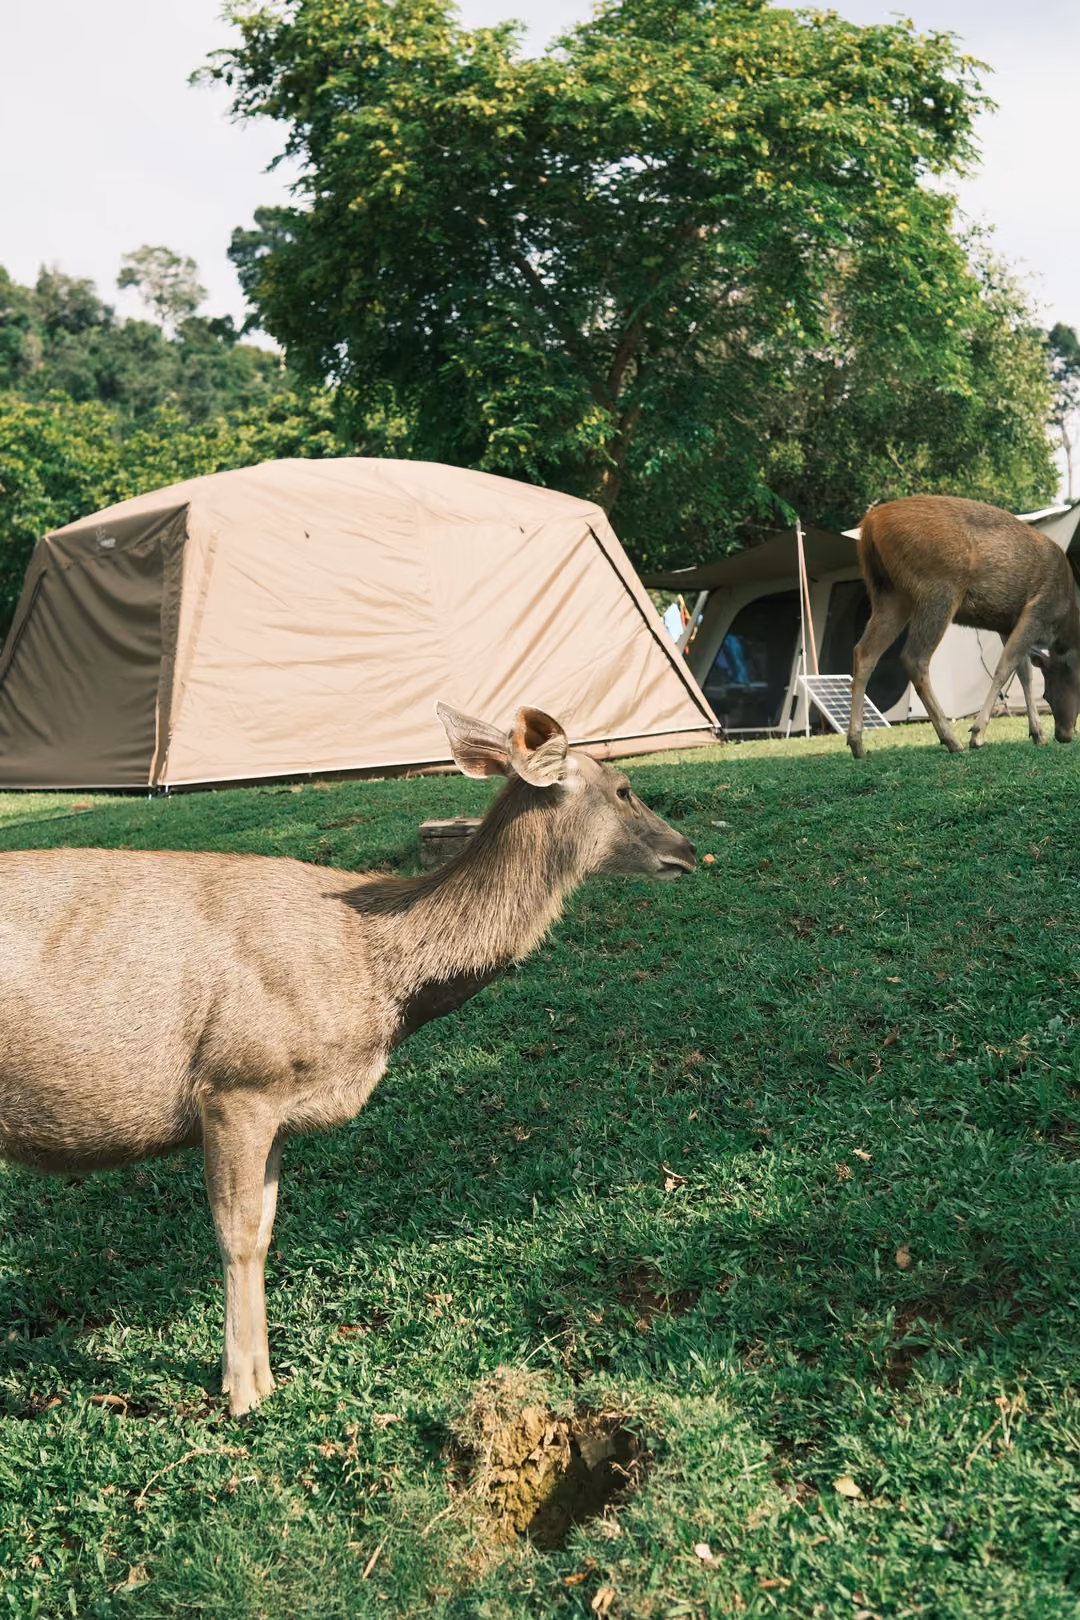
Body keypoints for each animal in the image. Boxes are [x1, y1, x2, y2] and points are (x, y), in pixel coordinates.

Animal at [0, 704, 695, 1415]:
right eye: (624, 788)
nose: (691, 850)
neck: (374, 977)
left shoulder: (275, 1109)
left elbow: (265, 1232)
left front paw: (263, 1378)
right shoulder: (237, 1082)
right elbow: (236, 1237)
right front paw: (243, 1392)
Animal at [846, 495, 1080, 758]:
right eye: (1075, 684)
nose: (1065, 734)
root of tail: (871, 524)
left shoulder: (1008, 622)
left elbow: (1024, 673)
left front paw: (1038, 734)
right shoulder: (1037, 610)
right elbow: (1004, 667)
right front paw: (977, 734)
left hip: (889, 595)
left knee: (865, 652)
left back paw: (857, 743)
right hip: (938, 590)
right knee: (913, 657)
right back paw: (951, 739)